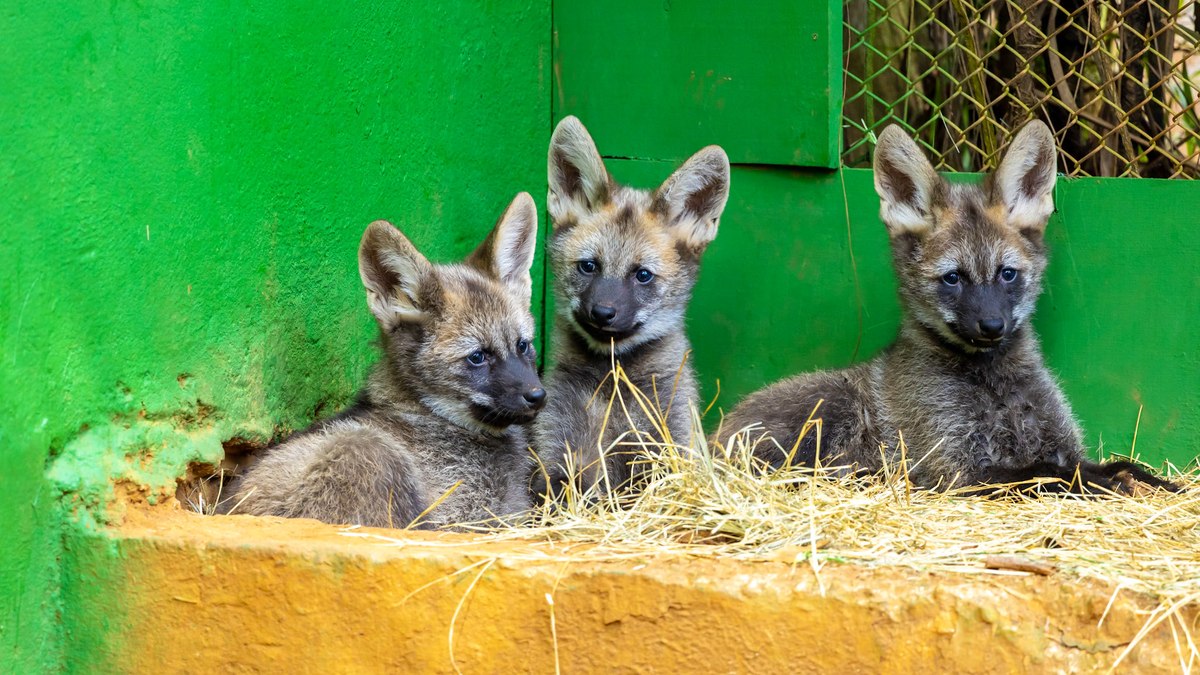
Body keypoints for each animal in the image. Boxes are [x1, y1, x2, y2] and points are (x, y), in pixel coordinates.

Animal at [223, 193, 547, 528]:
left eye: (523, 345)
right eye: (478, 357)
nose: (537, 395)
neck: (427, 414)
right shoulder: (464, 519)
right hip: (366, 450)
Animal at [531, 116, 731, 500]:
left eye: (642, 275)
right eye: (588, 266)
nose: (602, 313)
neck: (612, 385)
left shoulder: (671, 445)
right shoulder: (556, 451)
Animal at [716, 122, 1176, 494]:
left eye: (1007, 274)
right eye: (953, 278)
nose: (992, 326)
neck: (996, 387)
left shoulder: (1060, 444)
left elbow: (1115, 463)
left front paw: (1156, 483)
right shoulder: (956, 471)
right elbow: (1048, 472)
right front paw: (1103, 485)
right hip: (832, 407)